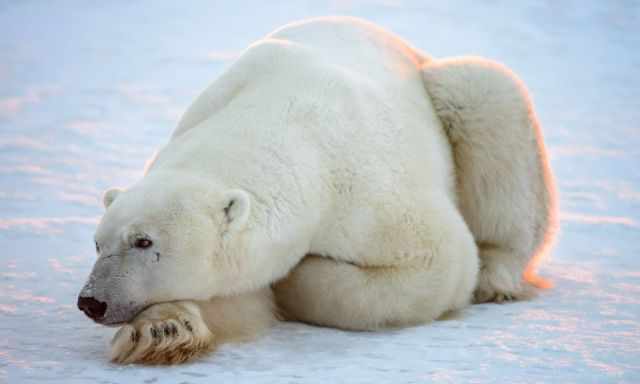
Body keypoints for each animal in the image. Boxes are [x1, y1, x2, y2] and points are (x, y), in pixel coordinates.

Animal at [77, 16, 556, 364]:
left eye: (144, 241)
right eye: (97, 242)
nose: (91, 302)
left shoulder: (369, 190)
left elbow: (438, 260)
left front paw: (294, 280)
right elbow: (229, 296)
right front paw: (160, 332)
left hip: (456, 94)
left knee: (486, 97)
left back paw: (497, 276)